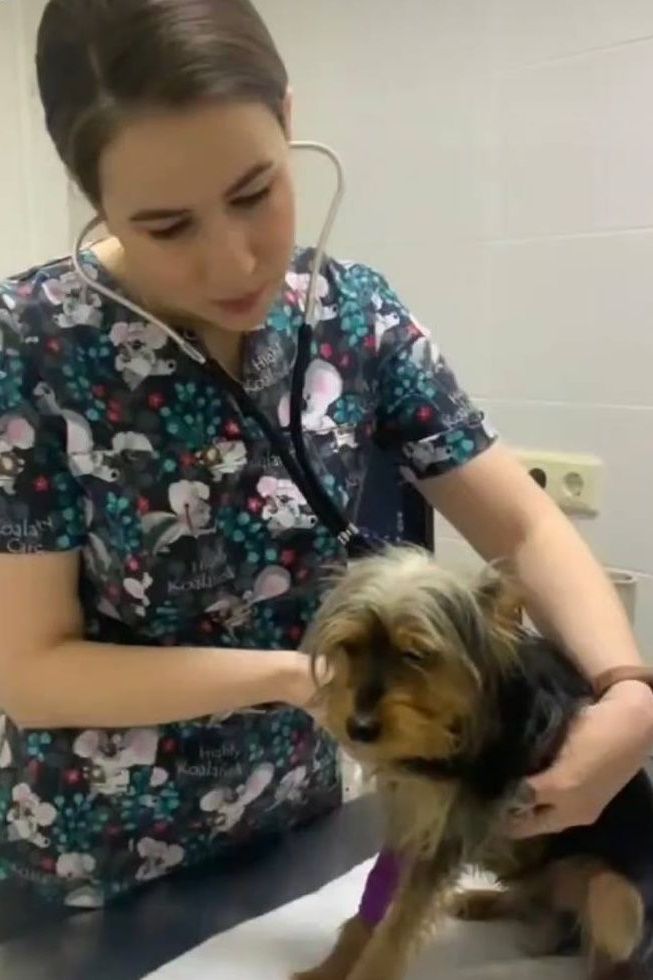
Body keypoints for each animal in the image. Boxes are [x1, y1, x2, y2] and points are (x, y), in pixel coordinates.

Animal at [294, 546, 653, 980]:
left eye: (415, 655)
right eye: (350, 647)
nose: (359, 728)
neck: (456, 721)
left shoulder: (448, 830)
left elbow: (398, 925)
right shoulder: (413, 811)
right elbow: (376, 903)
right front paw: (330, 967)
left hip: (616, 899)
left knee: (609, 942)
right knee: (534, 900)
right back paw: (483, 901)